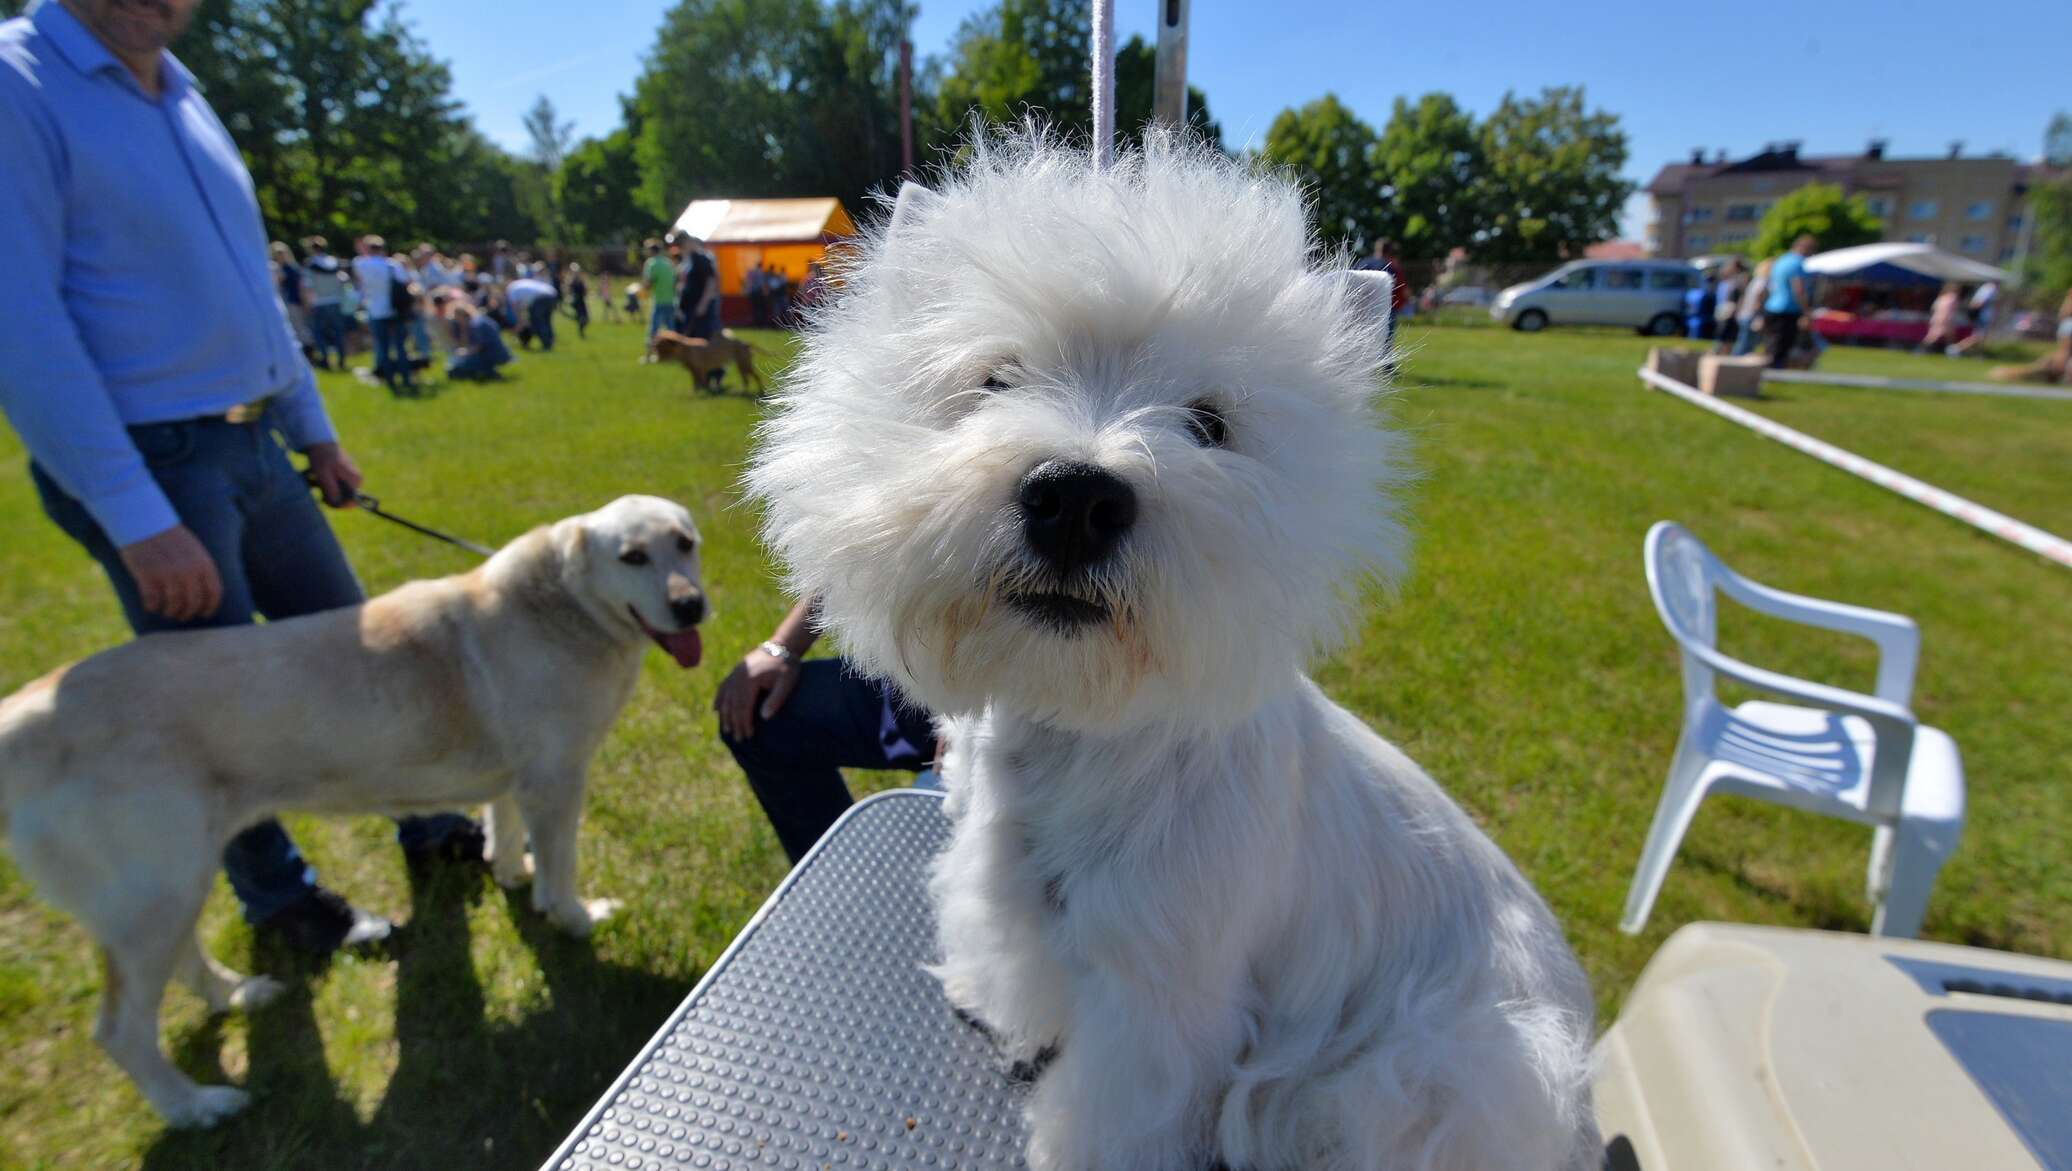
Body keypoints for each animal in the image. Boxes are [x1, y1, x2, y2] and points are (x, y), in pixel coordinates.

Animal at [750, 132, 1599, 1160]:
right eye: (995, 379)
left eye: (1210, 423)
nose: (1076, 497)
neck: (1077, 737)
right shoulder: (1011, 897)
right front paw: (995, 1003)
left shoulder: (1161, 994)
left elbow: (1116, 1106)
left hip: (1437, 1075)